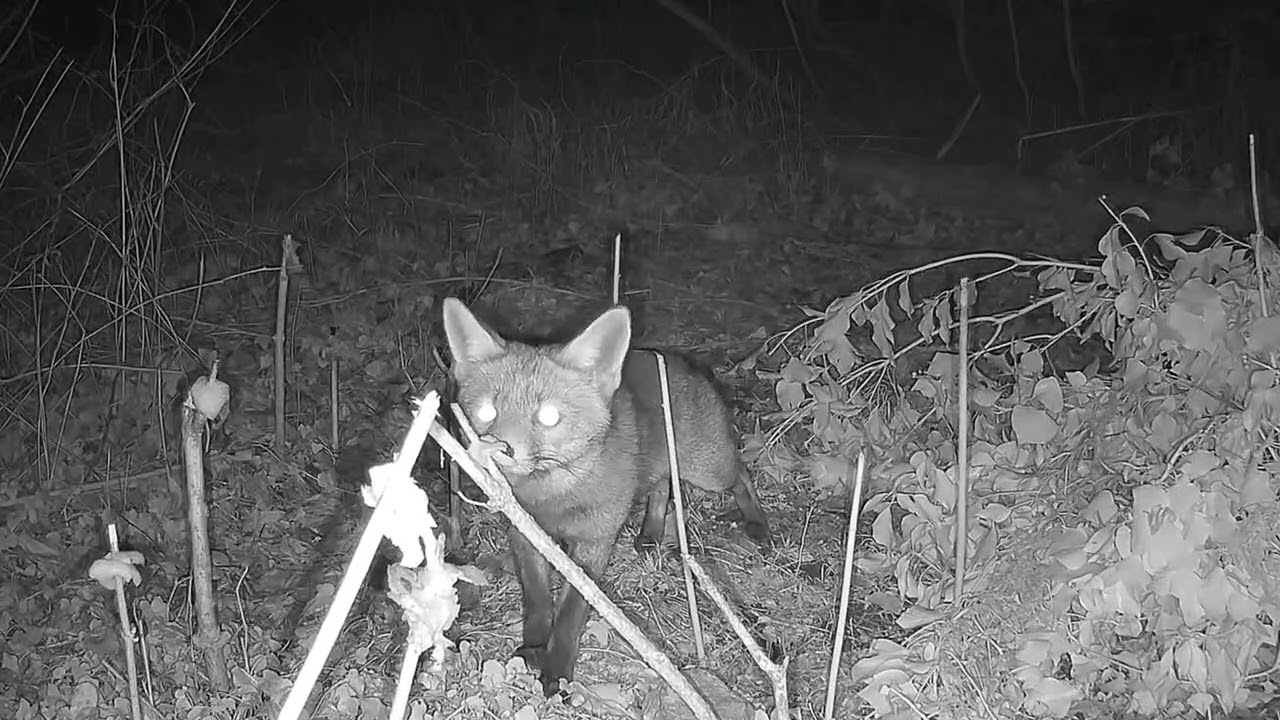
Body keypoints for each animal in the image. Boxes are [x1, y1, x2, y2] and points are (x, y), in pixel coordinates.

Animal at [441, 297, 770, 696]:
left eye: (548, 417)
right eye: (488, 411)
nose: (500, 449)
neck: (552, 501)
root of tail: (680, 362)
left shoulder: (594, 542)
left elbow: (572, 610)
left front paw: (557, 672)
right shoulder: (525, 535)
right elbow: (537, 599)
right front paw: (533, 648)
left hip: (710, 473)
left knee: (742, 476)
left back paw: (757, 522)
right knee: (661, 487)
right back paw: (651, 531)